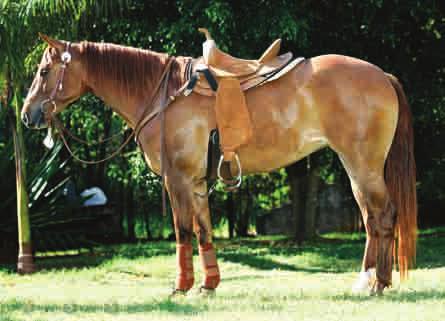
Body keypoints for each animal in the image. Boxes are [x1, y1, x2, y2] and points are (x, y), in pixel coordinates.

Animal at [22, 35, 414, 296]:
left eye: (44, 70)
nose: (28, 114)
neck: (164, 96)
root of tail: (382, 75)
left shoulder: (177, 180)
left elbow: (182, 231)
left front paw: (181, 287)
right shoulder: (196, 183)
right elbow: (204, 231)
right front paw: (208, 285)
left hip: (362, 165)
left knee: (382, 216)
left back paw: (376, 283)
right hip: (357, 168)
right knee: (371, 218)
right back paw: (370, 281)